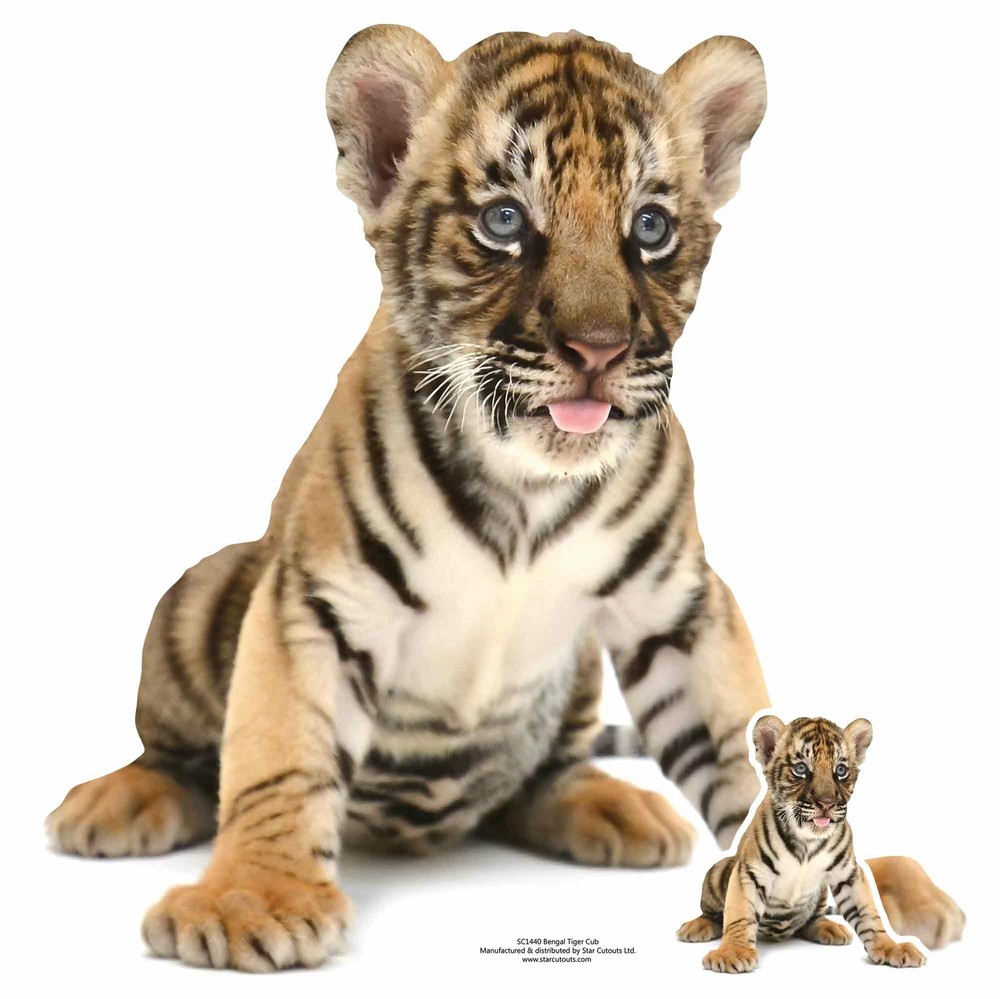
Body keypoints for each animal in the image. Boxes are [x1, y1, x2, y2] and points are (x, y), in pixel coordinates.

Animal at [678, 716, 928, 973]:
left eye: (840, 770)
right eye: (800, 769)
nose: (826, 803)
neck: (807, 840)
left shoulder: (847, 874)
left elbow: (869, 913)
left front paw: (891, 947)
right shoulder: (750, 871)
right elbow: (739, 912)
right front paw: (732, 953)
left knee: (811, 921)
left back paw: (830, 928)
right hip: (718, 870)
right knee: (713, 914)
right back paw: (696, 927)